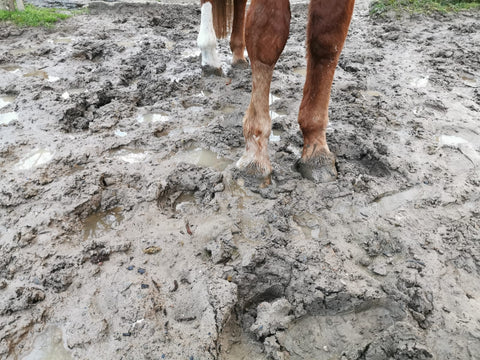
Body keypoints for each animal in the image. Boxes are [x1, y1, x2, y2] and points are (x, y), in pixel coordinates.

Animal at [197, 0, 354, 181]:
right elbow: (267, 37)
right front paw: (255, 156)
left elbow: (327, 41)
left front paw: (317, 154)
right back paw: (210, 59)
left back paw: (238, 55)